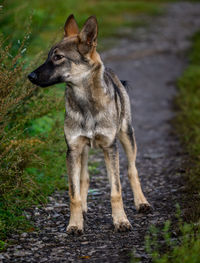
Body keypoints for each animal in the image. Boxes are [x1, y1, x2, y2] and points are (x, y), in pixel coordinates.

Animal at [27, 13, 150, 235]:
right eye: (48, 56)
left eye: (58, 57)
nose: (30, 76)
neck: (86, 104)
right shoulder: (73, 149)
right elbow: (73, 194)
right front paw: (75, 223)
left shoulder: (110, 148)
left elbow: (116, 191)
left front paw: (121, 221)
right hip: (83, 150)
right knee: (84, 178)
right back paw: (84, 209)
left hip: (127, 136)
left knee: (132, 170)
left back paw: (141, 202)